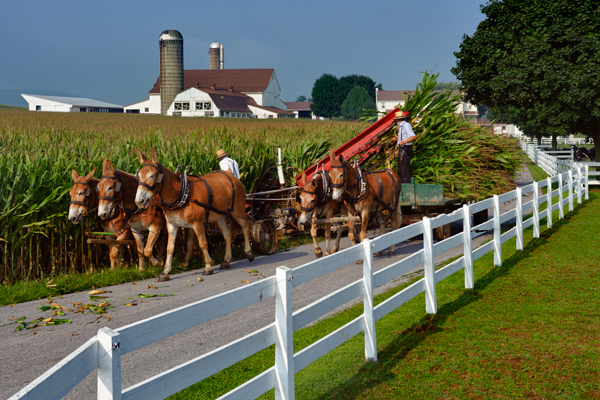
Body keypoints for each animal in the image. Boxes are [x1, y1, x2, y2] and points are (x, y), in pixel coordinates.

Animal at [134, 148, 254, 279]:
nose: (139, 201)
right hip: (220, 215)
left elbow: (203, 243)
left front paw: (208, 267)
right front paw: (165, 271)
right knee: (227, 234)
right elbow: (170, 248)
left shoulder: (197, 224)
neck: (181, 194)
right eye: (138, 176)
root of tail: (233, 177)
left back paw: (249, 252)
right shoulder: (171, 225)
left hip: (237, 210)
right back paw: (226, 261)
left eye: (152, 175)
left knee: (245, 225)